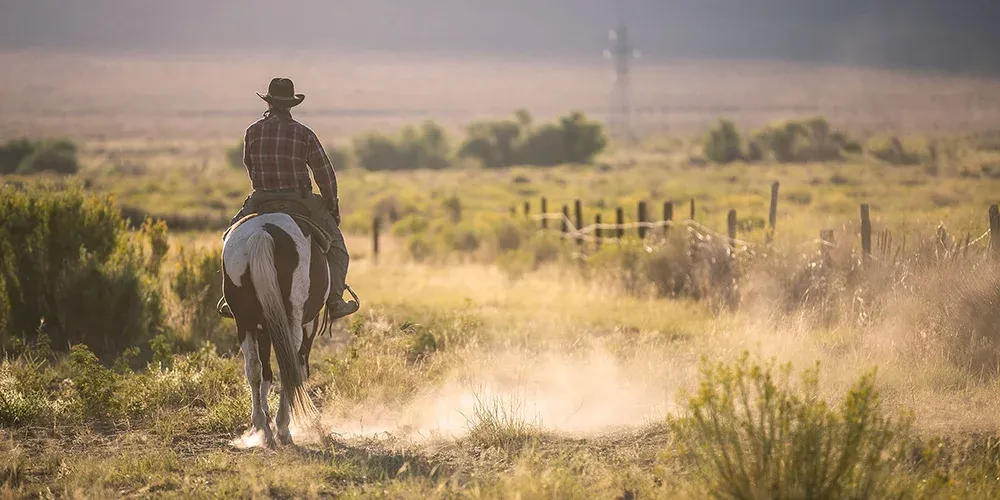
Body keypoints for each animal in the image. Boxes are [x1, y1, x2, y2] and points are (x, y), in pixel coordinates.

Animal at [220, 211, 352, 447]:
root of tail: (262, 233)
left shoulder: (263, 327)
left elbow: (265, 372)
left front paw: (265, 421)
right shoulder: (308, 325)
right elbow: (299, 367)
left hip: (244, 321)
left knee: (253, 367)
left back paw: (262, 427)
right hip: (293, 321)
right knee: (288, 366)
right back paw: (283, 428)